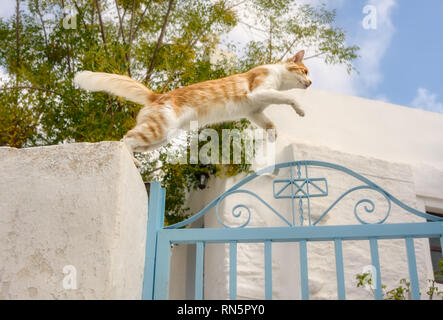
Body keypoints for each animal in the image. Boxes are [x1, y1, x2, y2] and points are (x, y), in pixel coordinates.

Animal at [73, 49, 312, 168]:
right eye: (306, 71)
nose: (310, 83)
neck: (279, 77)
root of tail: (157, 95)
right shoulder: (258, 92)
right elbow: (288, 97)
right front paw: (300, 109)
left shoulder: (255, 110)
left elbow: (268, 122)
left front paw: (273, 134)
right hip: (157, 131)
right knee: (125, 139)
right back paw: (131, 161)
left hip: (159, 138)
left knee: (131, 141)